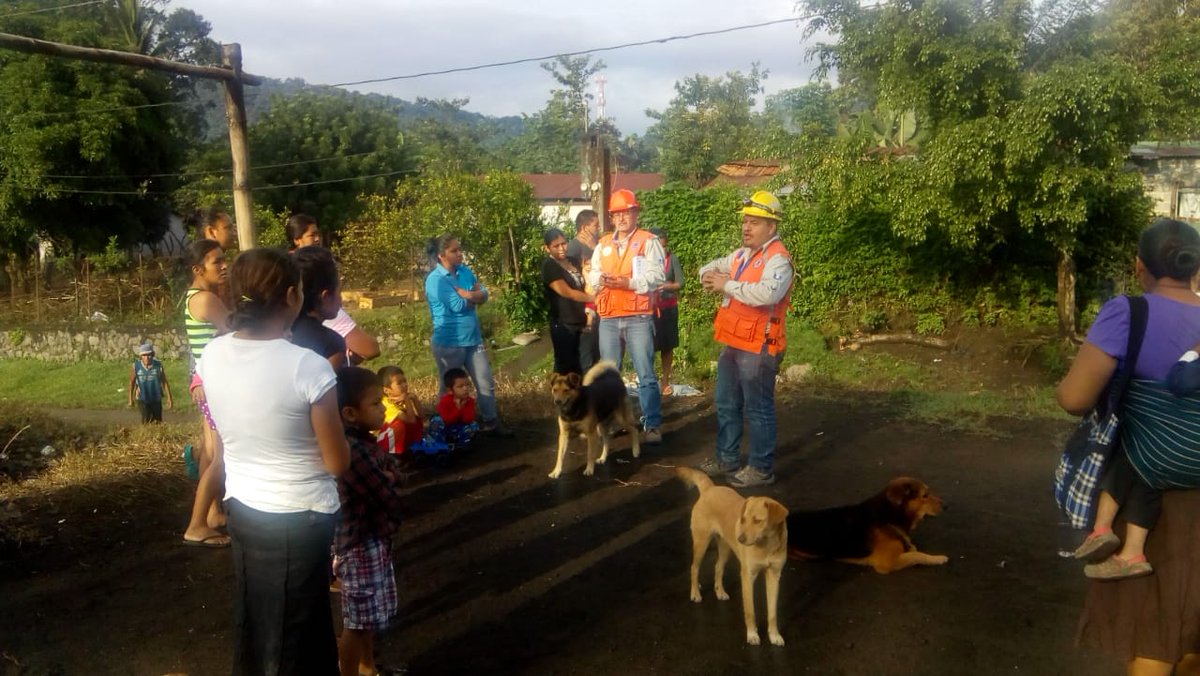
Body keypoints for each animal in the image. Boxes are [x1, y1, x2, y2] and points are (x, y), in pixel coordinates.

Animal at [681, 468, 792, 648]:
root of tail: (710, 488)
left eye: (758, 521)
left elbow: (772, 612)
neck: (767, 545)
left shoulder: (774, 576)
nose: (740, 538)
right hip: (701, 543)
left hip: (726, 548)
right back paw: (695, 593)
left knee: (718, 567)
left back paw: (720, 591)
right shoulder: (747, 576)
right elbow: (750, 611)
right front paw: (752, 635)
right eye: (744, 519)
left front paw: (774, 635)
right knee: (694, 568)